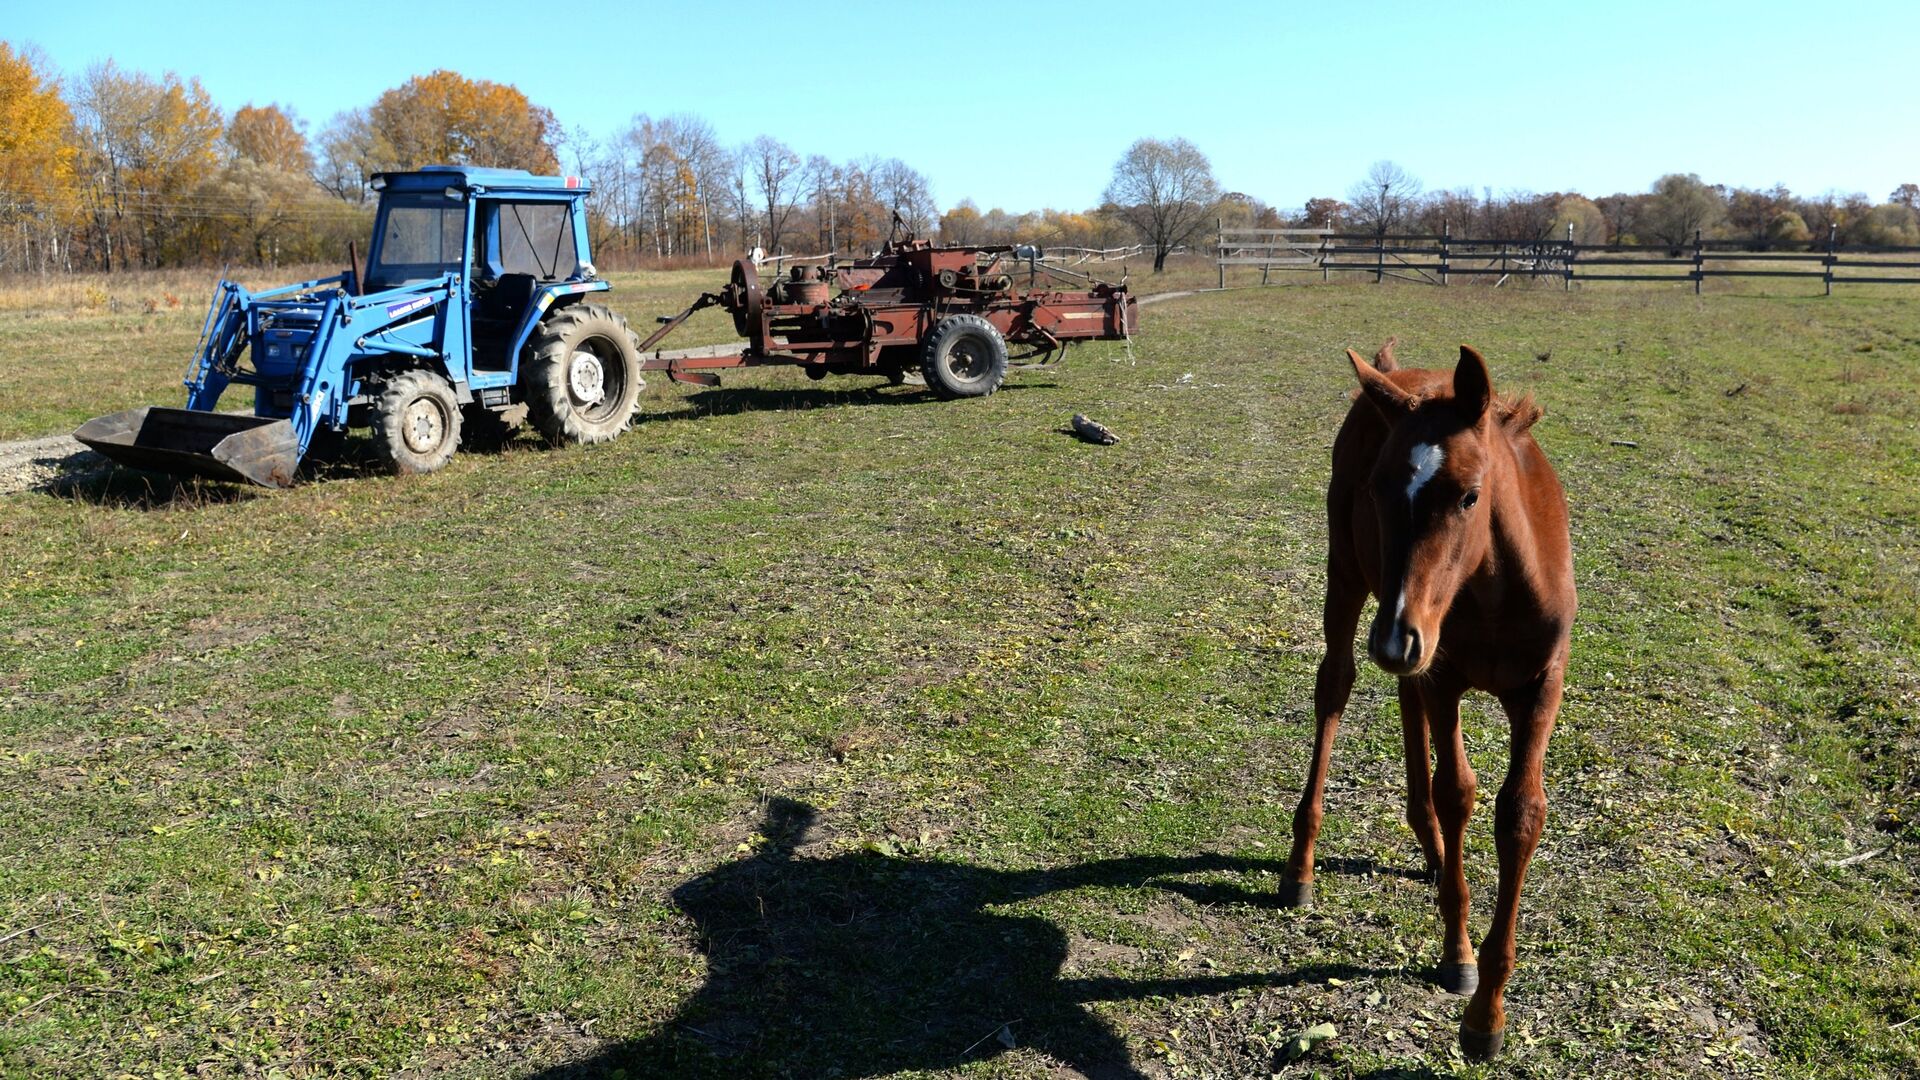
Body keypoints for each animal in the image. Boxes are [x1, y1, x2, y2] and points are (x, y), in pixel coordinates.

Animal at [1274, 338, 1574, 1060]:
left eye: (1469, 495)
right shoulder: (1445, 674)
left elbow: (1520, 813)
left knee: (1404, 697)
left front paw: (1489, 1014)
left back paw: (1433, 852)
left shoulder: (1540, 687)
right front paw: (1459, 957)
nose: (1393, 638)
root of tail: (1393, 371)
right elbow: (1458, 791)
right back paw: (1302, 866)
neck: (1496, 588)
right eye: (1378, 488)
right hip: (1354, 580)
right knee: (1337, 683)